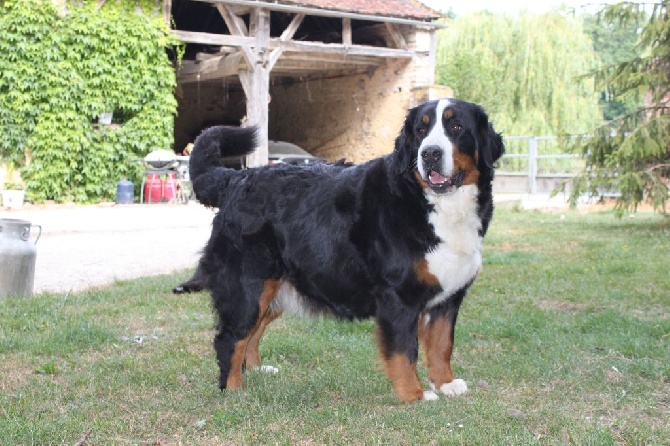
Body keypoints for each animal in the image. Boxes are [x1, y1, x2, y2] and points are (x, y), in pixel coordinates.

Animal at [188, 96, 504, 400]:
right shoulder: (398, 296)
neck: (430, 202)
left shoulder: (448, 298)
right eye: (420, 130)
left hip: (274, 288)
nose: (430, 153)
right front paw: (414, 394)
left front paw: (445, 383)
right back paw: (235, 390)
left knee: (252, 332)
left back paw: (256, 370)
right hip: (248, 285)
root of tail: (235, 178)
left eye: (456, 127)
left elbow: (441, 344)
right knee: (232, 337)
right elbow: (404, 350)